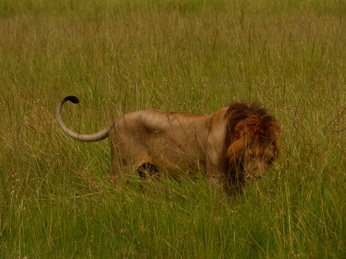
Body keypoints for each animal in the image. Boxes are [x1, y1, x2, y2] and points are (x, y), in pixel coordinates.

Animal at [56, 96, 282, 194]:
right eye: (251, 154)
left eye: (267, 157)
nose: (257, 176)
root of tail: (116, 120)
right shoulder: (215, 177)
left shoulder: (237, 178)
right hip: (121, 167)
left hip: (149, 172)